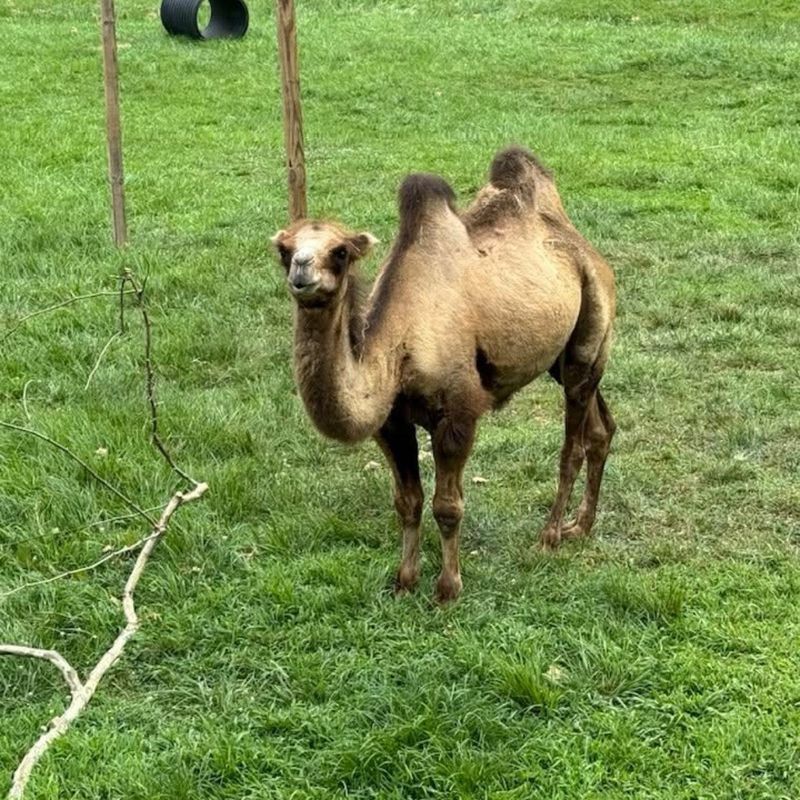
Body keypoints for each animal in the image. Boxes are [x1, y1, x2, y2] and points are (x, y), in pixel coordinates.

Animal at [271, 146, 616, 602]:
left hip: (591, 329)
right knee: (601, 428)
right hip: (561, 357)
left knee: (572, 444)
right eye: (284, 249)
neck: (399, 349)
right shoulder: (392, 423)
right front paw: (405, 581)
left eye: (340, 252)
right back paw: (581, 526)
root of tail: (582, 245)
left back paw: (550, 535)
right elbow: (408, 502)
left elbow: (447, 506)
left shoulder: (457, 413)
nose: (302, 271)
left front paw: (448, 589)